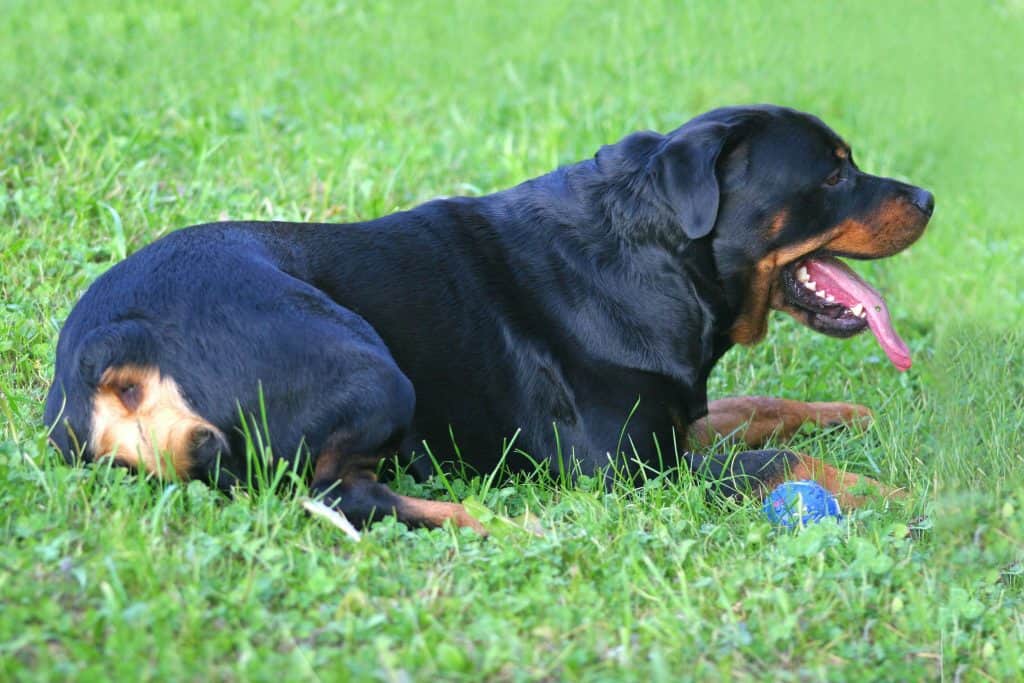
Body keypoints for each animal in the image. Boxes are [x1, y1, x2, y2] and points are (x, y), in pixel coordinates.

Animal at [44, 107, 933, 532]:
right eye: (835, 174)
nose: (927, 196)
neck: (656, 258)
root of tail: (109, 345)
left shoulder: (675, 424)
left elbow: (758, 407)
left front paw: (845, 412)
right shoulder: (631, 467)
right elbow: (780, 461)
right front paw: (900, 495)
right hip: (368, 366)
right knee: (337, 494)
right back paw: (509, 520)